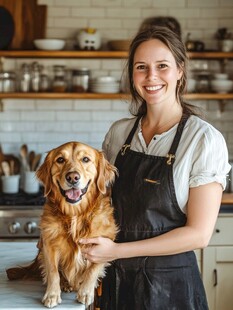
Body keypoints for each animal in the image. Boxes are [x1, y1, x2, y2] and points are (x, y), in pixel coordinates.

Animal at [6, 142, 117, 308]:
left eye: (85, 159)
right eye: (60, 160)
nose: (72, 177)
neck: (75, 214)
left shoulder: (104, 243)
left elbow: (93, 269)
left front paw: (86, 292)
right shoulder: (48, 244)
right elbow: (53, 271)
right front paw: (52, 294)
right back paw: (65, 284)